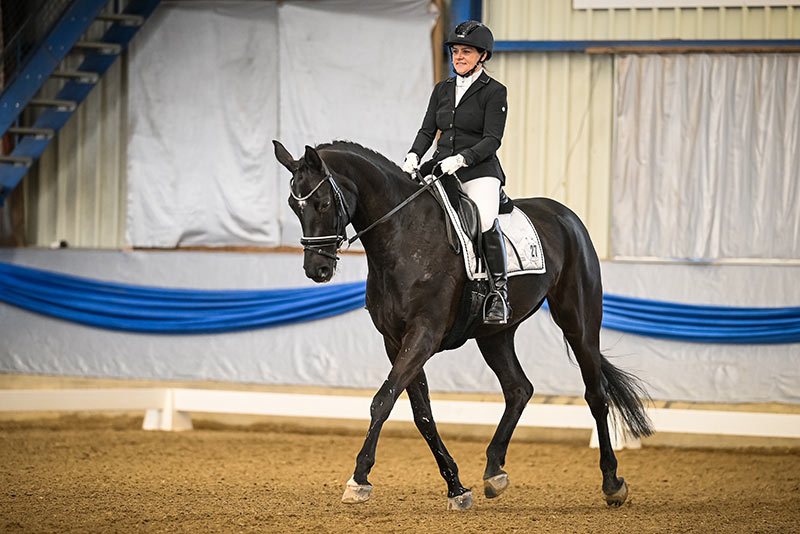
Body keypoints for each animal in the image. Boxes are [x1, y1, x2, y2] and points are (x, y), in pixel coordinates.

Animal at [273, 139, 653, 511]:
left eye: (322, 203)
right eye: (293, 205)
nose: (317, 270)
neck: (403, 237)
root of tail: (567, 216)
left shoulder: (423, 335)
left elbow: (383, 400)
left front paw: (359, 479)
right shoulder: (396, 342)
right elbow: (421, 414)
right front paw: (456, 487)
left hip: (579, 322)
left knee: (596, 394)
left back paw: (612, 483)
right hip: (495, 334)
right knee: (519, 389)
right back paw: (494, 471)